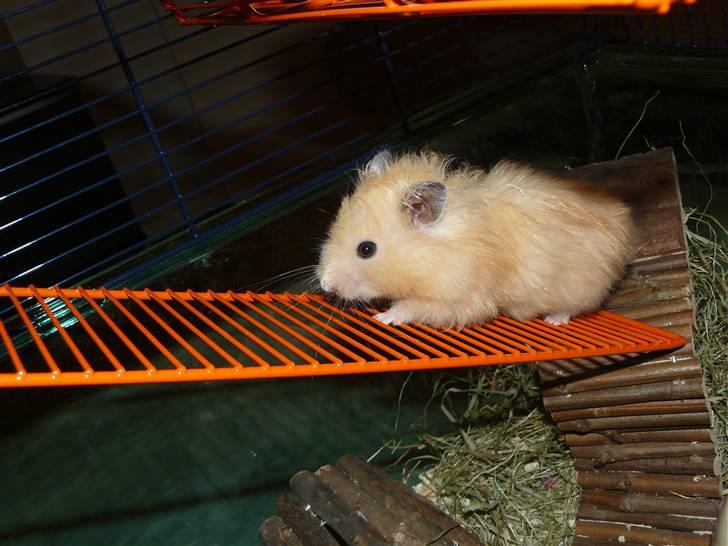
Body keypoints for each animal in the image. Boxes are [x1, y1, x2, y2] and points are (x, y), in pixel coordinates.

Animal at [316, 150, 635, 329]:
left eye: (366, 249)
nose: (325, 284)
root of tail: (623, 225)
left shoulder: (460, 298)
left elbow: (413, 306)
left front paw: (383, 317)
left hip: (580, 286)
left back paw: (554, 320)